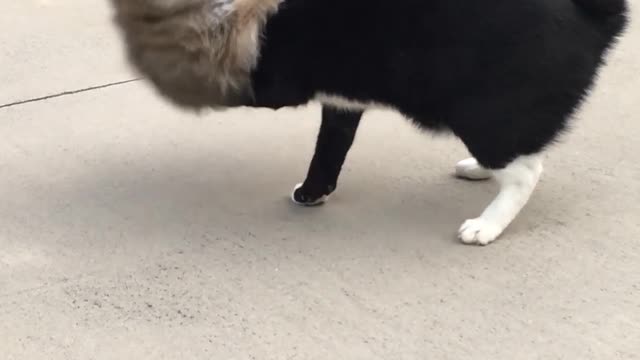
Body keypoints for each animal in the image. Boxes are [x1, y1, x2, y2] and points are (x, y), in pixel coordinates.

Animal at [111, 0, 632, 245]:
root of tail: (595, 19)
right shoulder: (341, 100)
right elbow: (330, 148)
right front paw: (313, 192)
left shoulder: (268, 77)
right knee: (520, 155)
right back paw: (478, 172)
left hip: (483, 114)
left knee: (526, 171)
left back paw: (487, 224)